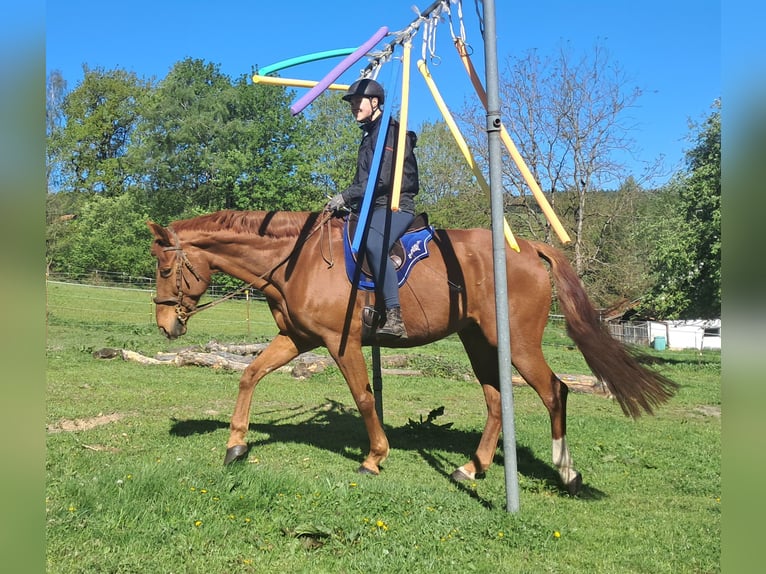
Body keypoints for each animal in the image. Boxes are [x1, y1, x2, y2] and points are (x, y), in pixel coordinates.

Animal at [147, 209, 677, 495]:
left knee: (555, 391)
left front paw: (374, 457)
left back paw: (567, 472)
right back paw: (472, 467)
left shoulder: (341, 343)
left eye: (165, 269)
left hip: (520, 345)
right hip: (478, 341)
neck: (298, 260)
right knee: (494, 399)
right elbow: (250, 374)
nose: (165, 325)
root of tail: (527, 248)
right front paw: (235, 444)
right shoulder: (299, 338)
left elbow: (363, 397)